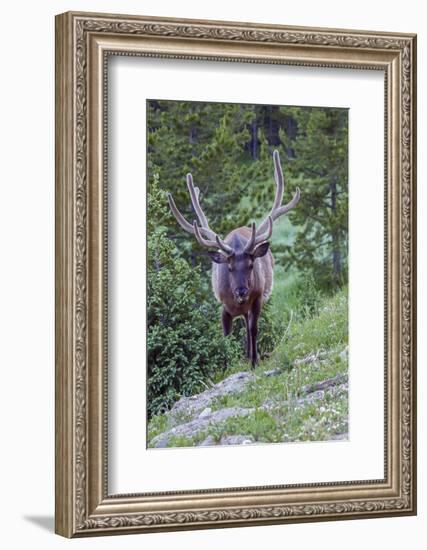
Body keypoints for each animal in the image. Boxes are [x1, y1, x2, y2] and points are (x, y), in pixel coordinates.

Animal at [167, 149, 300, 368]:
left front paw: (254, 361)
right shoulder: (223, 306)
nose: (241, 291)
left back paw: (249, 354)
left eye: (251, 264)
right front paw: (227, 364)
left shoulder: (257, 299)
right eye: (229, 268)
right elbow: (226, 336)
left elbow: (253, 329)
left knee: (247, 325)